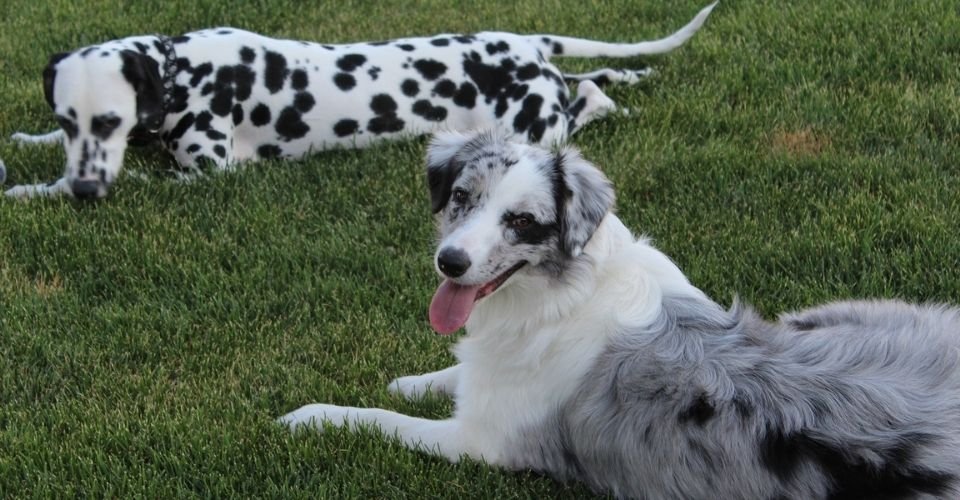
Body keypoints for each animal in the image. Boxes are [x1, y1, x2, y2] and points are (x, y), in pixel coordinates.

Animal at [5, 3, 712, 201]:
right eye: (69, 118)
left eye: (110, 119)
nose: (87, 190)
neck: (187, 69)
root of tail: (525, 41)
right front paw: (30, 143)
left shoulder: (211, 175)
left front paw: (33, 191)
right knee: (593, 80)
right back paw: (633, 77)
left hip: (539, 126)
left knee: (588, 97)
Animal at [282, 131, 960, 498]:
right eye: (461, 199)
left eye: (522, 221)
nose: (450, 262)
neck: (566, 291)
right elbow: (449, 373)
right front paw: (411, 378)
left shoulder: (482, 442)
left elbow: (377, 419)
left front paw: (310, 415)